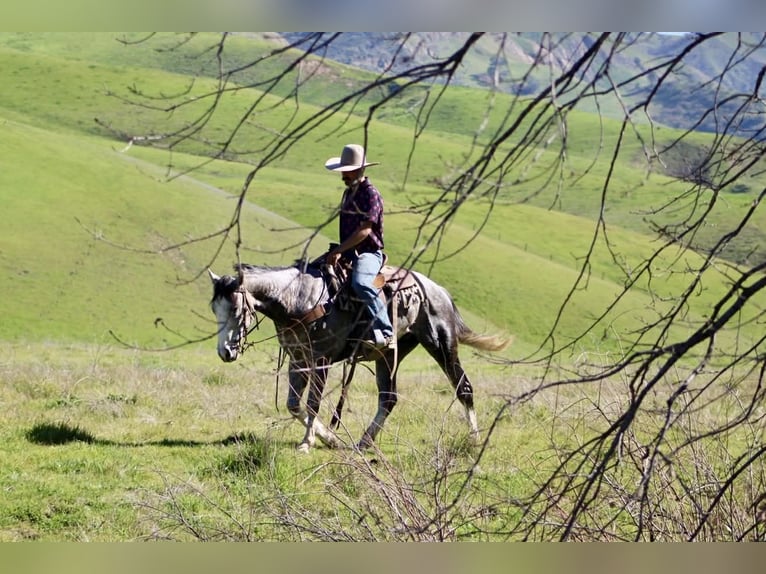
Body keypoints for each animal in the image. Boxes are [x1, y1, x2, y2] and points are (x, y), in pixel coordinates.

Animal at [208, 261, 510, 453]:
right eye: (214, 309)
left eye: (235, 308)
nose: (225, 352)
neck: (299, 299)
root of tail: (439, 291)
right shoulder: (298, 360)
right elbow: (294, 405)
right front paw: (330, 439)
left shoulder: (321, 360)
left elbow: (313, 404)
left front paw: (308, 443)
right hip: (389, 355)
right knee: (388, 398)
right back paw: (363, 442)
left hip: (442, 344)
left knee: (464, 388)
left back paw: (474, 441)